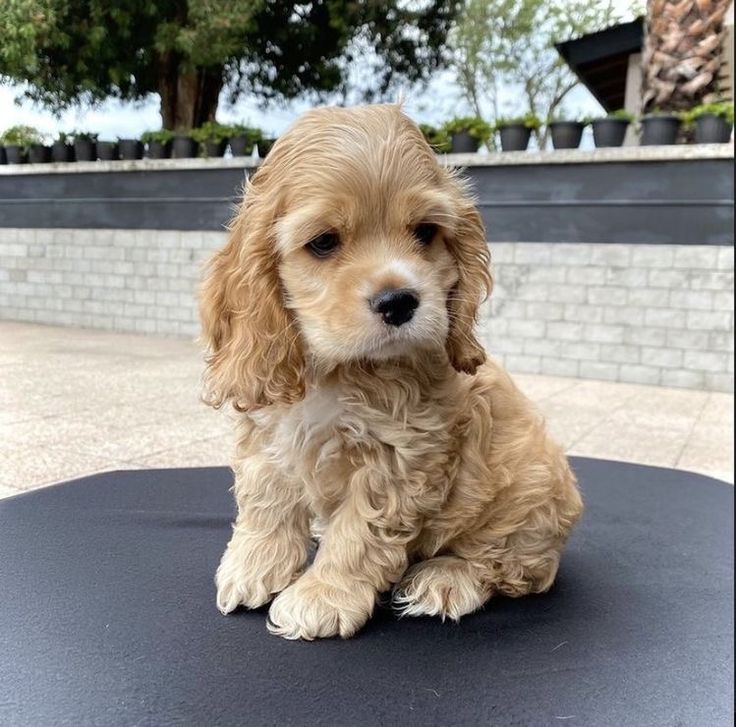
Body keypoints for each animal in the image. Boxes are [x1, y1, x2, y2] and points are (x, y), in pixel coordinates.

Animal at [200, 104, 580, 644]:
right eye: (324, 242)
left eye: (424, 232)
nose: (399, 301)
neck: (336, 371)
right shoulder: (268, 428)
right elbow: (265, 500)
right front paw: (252, 567)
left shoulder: (399, 458)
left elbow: (357, 534)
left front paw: (322, 597)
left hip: (529, 492)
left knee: (514, 566)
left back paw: (446, 579)